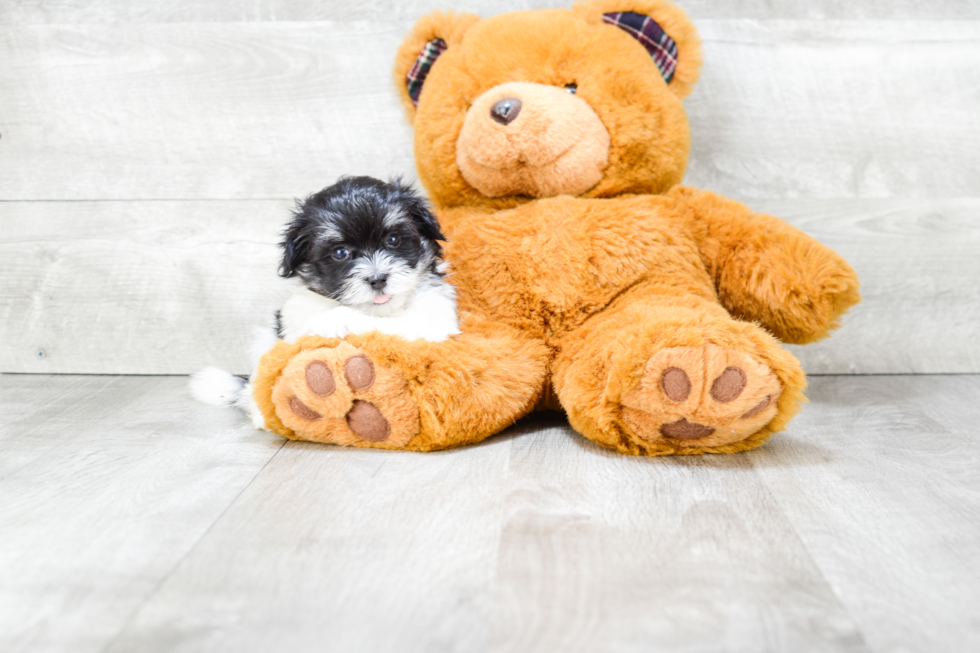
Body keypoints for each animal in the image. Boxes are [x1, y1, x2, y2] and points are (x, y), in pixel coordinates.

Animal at [191, 176, 460, 426]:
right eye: (340, 253)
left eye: (393, 240)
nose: (377, 279)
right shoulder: (294, 318)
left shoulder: (433, 316)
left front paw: (339, 320)